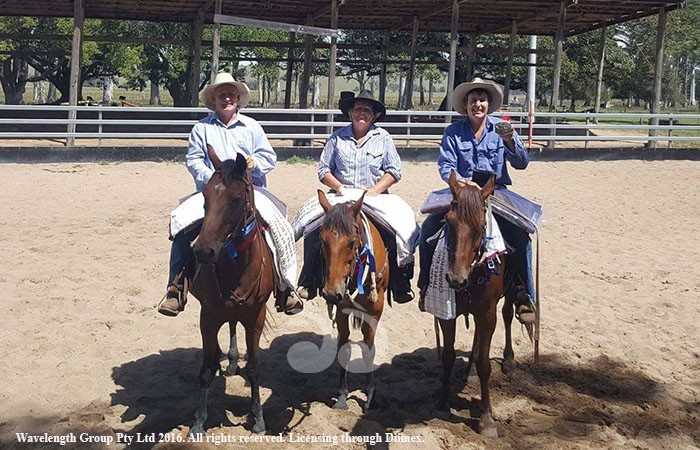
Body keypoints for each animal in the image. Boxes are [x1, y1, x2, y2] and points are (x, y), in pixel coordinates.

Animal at [187, 149, 274, 436]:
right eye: (205, 196)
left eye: (236, 199)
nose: (203, 251)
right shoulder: (208, 316)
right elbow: (205, 370)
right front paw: (198, 422)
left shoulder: (256, 316)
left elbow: (255, 369)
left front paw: (258, 418)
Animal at [318, 190, 388, 412]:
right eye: (322, 240)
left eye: (351, 242)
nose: (331, 293)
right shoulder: (342, 308)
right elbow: (344, 348)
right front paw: (342, 395)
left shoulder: (375, 310)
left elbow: (369, 349)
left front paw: (370, 394)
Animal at [434, 171, 524, 438]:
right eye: (448, 220)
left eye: (481, 225)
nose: (455, 278)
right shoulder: (447, 314)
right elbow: (448, 356)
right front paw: (442, 403)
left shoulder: (487, 313)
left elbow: (486, 364)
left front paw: (486, 419)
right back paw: (471, 371)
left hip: (507, 296)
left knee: (507, 315)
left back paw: (508, 361)